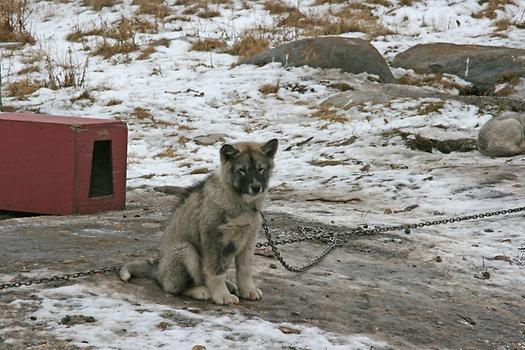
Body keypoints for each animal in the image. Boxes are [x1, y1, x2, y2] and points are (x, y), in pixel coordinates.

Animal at [119, 139, 278, 304]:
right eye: (242, 170)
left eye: (261, 169)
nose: (256, 187)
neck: (240, 201)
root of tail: (158, 270)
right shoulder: (213, 238)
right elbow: (216, 272)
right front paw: (223, 295)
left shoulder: (249, 240)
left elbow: (245, 269)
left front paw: (248, 290)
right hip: (186, 250)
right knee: (175, 287)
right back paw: (200, 291)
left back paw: (227, 285)